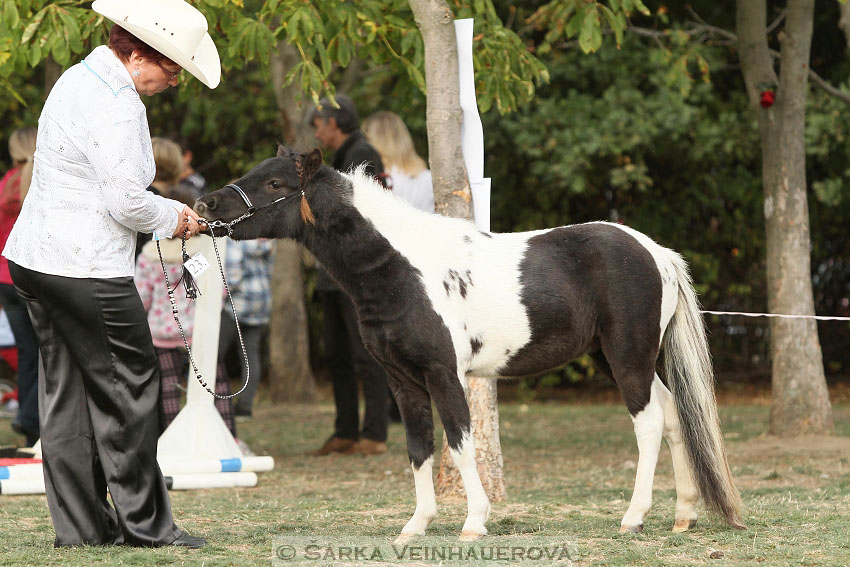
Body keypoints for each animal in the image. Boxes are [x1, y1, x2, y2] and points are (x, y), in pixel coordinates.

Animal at [194, 146, 744, 540]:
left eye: (274, 183)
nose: (205, 206)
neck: (402, 270)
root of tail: (657, 252)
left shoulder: (444, 374)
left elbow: (459, 443)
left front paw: (474, 523)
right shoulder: (402, 381)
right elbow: (420, 448)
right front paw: (414, 527)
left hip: (627, 356)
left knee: (648, 424)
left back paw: (633, 517)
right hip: (621, 359)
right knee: (672, 416)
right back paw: (684, 515)